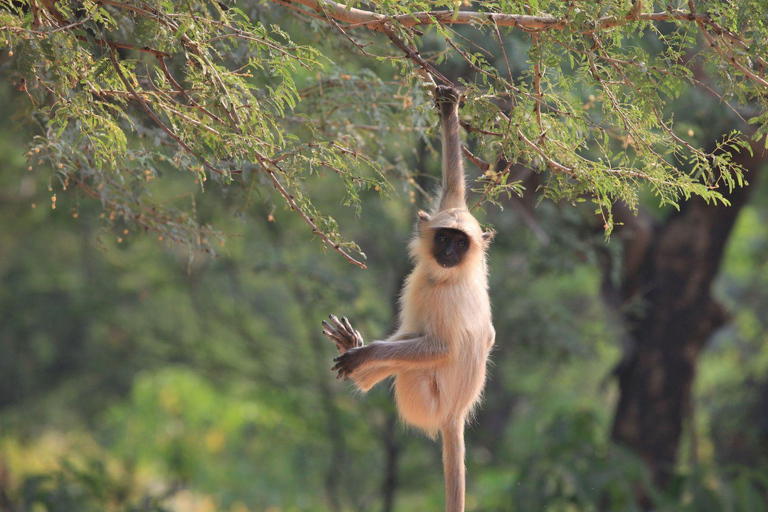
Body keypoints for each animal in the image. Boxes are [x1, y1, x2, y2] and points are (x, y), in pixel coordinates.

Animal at [320, 85, 496, 512]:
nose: (447, 252)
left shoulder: (449, 298)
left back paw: (360, 360)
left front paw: (364, 355)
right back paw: (353, 349)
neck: (443, 276)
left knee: (413, 358)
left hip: (423, 398)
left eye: (460, 244)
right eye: (444, 237)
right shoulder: (456, 218)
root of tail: (455, 415)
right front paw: (449, 112)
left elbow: (443, 348)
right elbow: (454, 188)